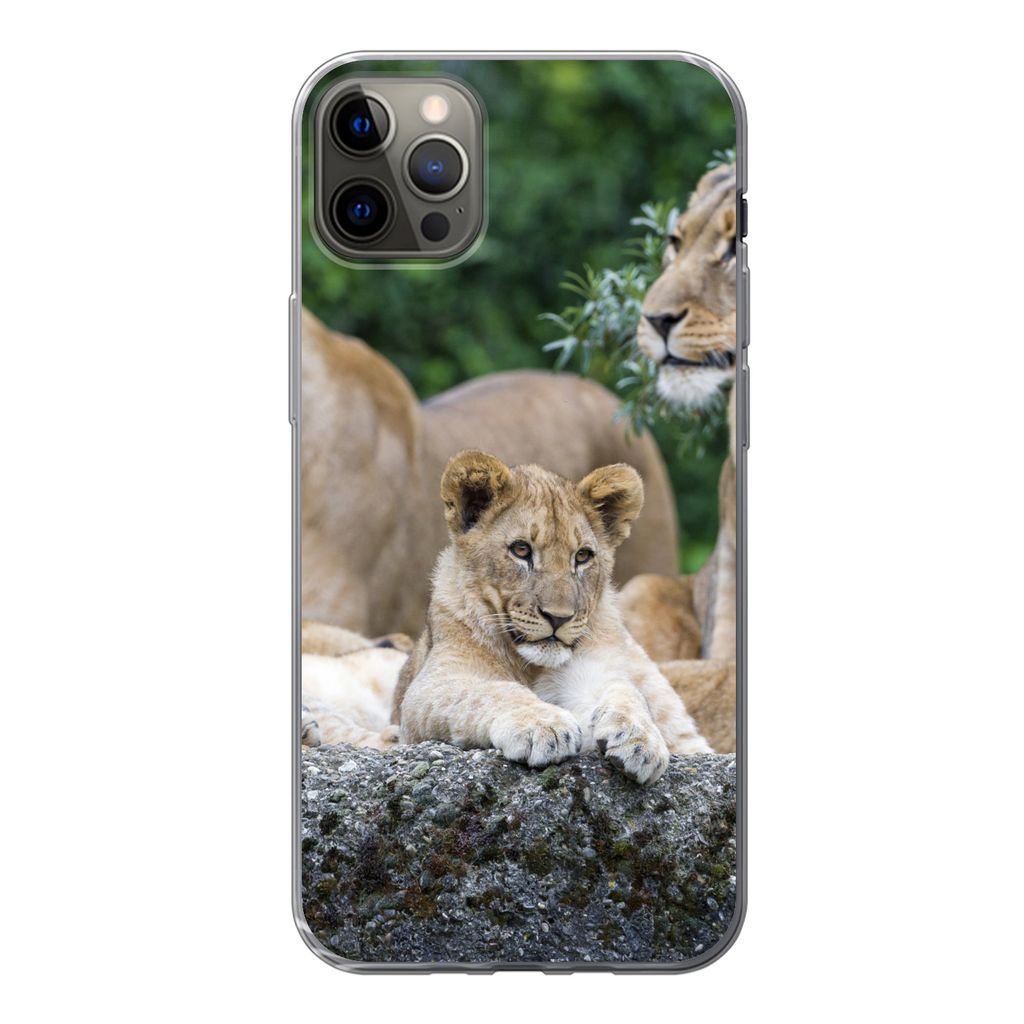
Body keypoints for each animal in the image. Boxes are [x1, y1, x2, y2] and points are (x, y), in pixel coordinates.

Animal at [392, 450, 710, 785]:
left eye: (582, 556)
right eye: (521, 549)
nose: (559, 618)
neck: (529, 665)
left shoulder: (593, 671)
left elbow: (624, 690)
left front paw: (639, 739)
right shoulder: (428, 689)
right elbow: (489, 692)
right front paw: (544, 726)